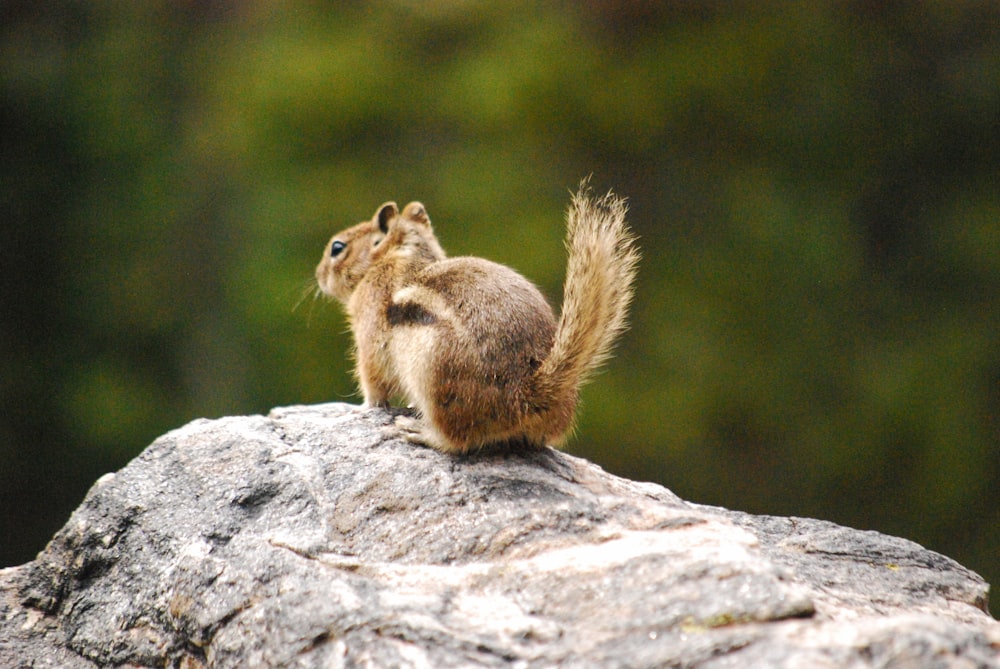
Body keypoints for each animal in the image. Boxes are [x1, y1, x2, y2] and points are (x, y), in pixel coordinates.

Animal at [314, 183, 640, 454]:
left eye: (337, 248)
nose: (318, 276)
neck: (400, 255)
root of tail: (529, 395)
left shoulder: (370, 325)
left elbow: (374, 379)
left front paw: (362, 408)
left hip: (432, 371)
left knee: (457, 439)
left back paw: (421, 431)